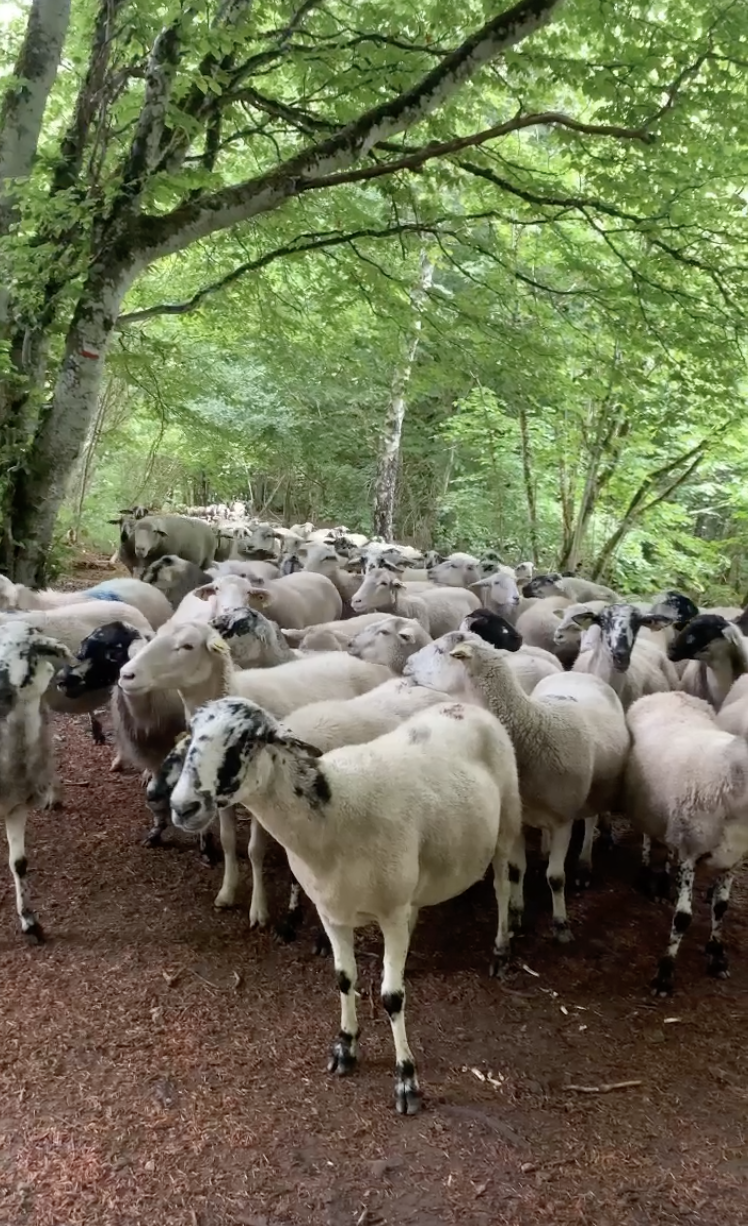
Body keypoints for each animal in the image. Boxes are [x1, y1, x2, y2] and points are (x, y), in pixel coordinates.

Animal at [167, 694, 523, 1113]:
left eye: (248, 740)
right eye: (190, 734)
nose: (182, 807)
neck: (332, 814)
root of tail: (467, 706)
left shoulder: (389, 913)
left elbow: (391, 997)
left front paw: (406, 1080)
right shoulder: (332, 914)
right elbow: (344, 979)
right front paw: (345, 1047)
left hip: (507, 822)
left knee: (502, 884)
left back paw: (501, 950)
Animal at [405, 633, 628, 939]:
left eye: (440, 650)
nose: (406, 663)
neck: (534, 729)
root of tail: (579, 674)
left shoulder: (564, 820)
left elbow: (556, 878)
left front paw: (561, 924)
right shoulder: (517, 821)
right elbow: (515, 871)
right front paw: (516, 915)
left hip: (594, 789)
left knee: (591, 818)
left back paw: (584, 864)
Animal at [625, 691, 748, 995]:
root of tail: (666, 692)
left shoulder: (732, 858)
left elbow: (720, 907)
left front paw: (716, 956)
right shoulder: (691, 850)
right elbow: (682, 918)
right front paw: (664, 973)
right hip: (647, 808)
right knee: (647, 838)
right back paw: (646, 875)